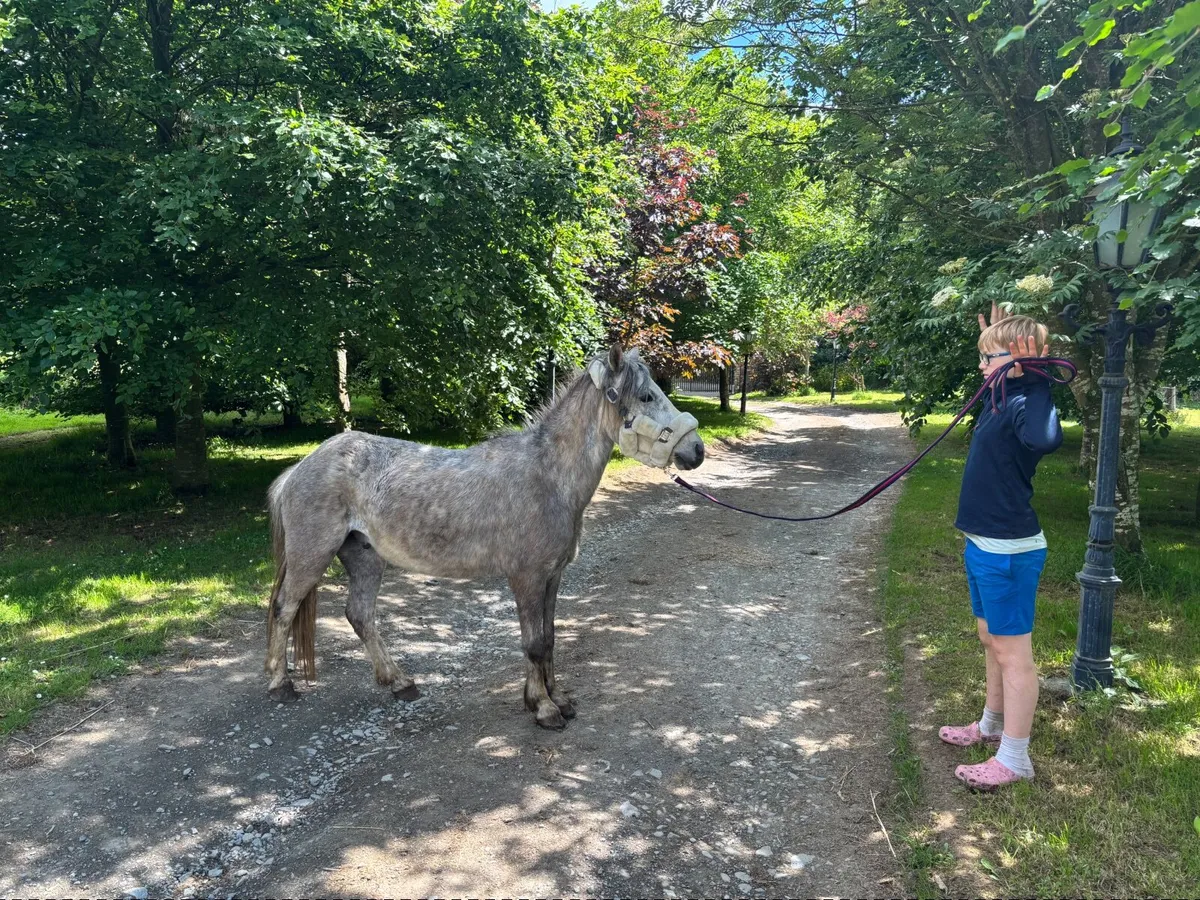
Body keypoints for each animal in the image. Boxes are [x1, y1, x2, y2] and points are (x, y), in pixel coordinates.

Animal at [263, 344, 705, 728]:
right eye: (646, 396)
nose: (696, 450)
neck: (547, 477)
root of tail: (301, 466)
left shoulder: (553, 576)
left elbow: (550, 638)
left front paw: (557, 697)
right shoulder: (526, 578)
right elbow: (534, 643)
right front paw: (543, 708)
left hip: (365, 557)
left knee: (360, 615)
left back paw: (400, 683)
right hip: (312, 555)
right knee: (285, 608)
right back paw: (280, 685)